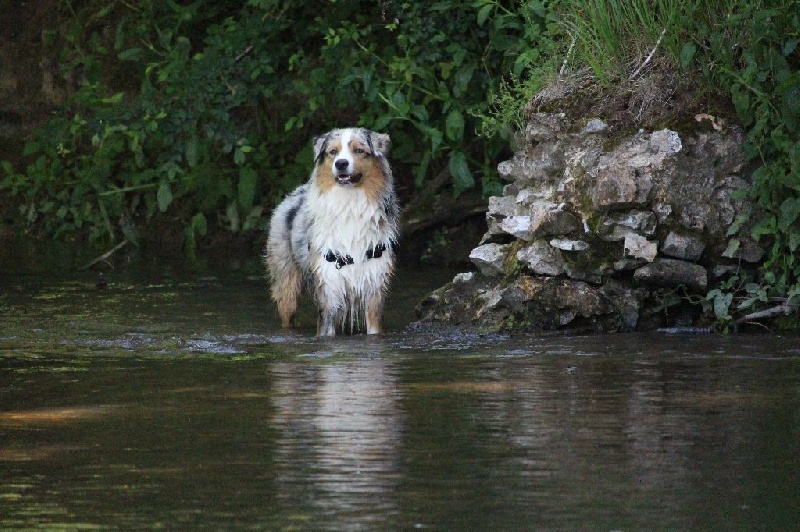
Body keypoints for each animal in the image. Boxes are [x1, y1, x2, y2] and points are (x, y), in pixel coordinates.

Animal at [262, 128, 400, 334]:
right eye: (333, 152)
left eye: (359, 150)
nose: (341, 163)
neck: (349, 203)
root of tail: (295, 192)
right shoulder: (328, 288)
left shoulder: (374, 288)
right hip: (286, 283)